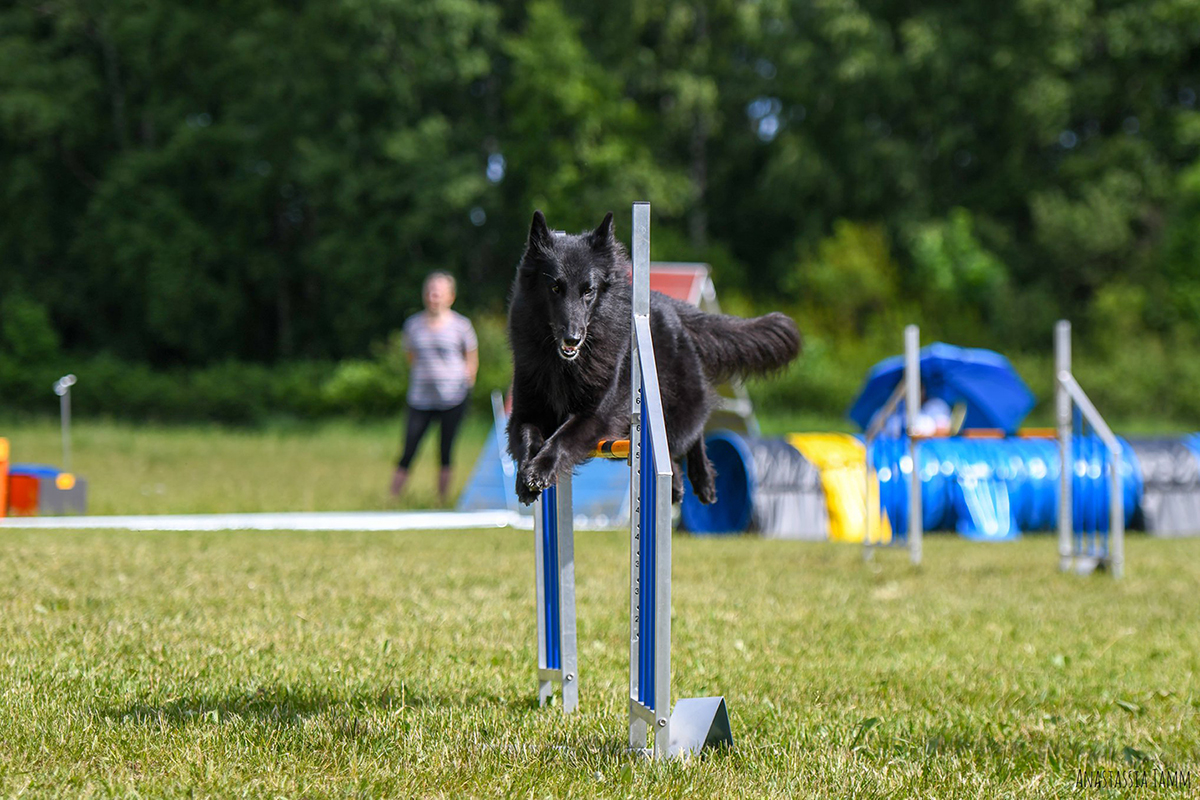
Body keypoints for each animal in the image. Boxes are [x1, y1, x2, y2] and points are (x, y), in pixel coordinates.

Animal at [506, 210, 800, 506]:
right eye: (555, 288)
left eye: (588, 291)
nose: (572, 338)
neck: (563, 365)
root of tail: (670, 306)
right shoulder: (526, 411)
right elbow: (528, 438)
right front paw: (524, 476)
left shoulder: (595, 416)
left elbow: (562, 439)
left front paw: (540, 470)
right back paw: (677, 486)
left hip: (671, 412)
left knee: (693, 432)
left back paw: (703, 480)